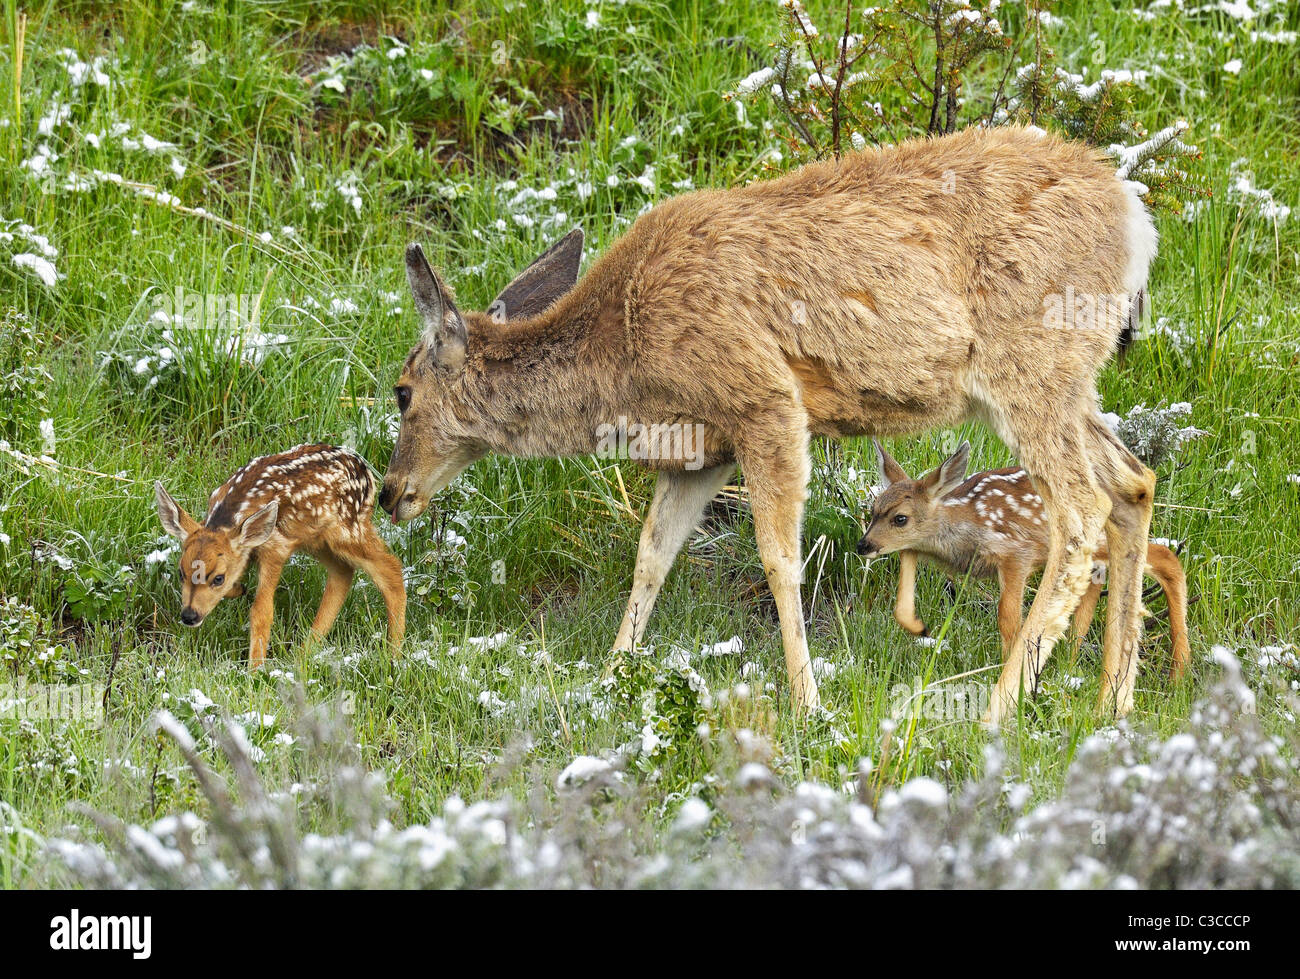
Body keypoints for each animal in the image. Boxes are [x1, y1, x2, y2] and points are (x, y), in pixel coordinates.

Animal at [379, 126, 1164, 722]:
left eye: (401, 393)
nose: (390, 493)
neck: (625, 358)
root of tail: (1137, 221)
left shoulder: (765, 398)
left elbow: (779, 558)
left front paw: (809, 701)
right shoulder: (703, 449)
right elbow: (653, 554)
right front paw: (610, 678)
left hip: (1031, 364)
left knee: (1081, 509)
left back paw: (1000, 704)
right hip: (1073, 379)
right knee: (1133, 482)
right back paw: (1114, 700)